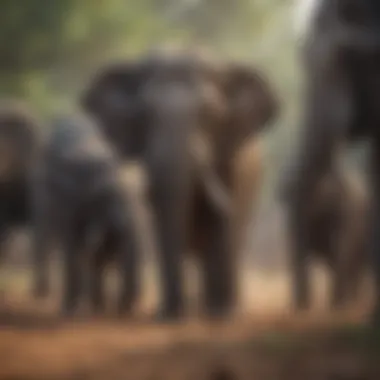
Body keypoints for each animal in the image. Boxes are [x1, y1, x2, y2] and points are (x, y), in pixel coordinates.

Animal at [30, 111, 141, 316]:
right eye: (100, 200)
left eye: (136, 201)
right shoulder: (69, 201)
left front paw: (104, 308)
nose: (126, 310)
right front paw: (71, 311)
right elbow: (74, 244)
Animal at [81, 47, 280, 320]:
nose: (168, 313)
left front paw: (220, 314)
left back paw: (221, 308)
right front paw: (169, 315)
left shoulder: (231, 160)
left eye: (209, 113)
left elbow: (223, 225)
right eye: (145, 114)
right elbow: (164, 219)